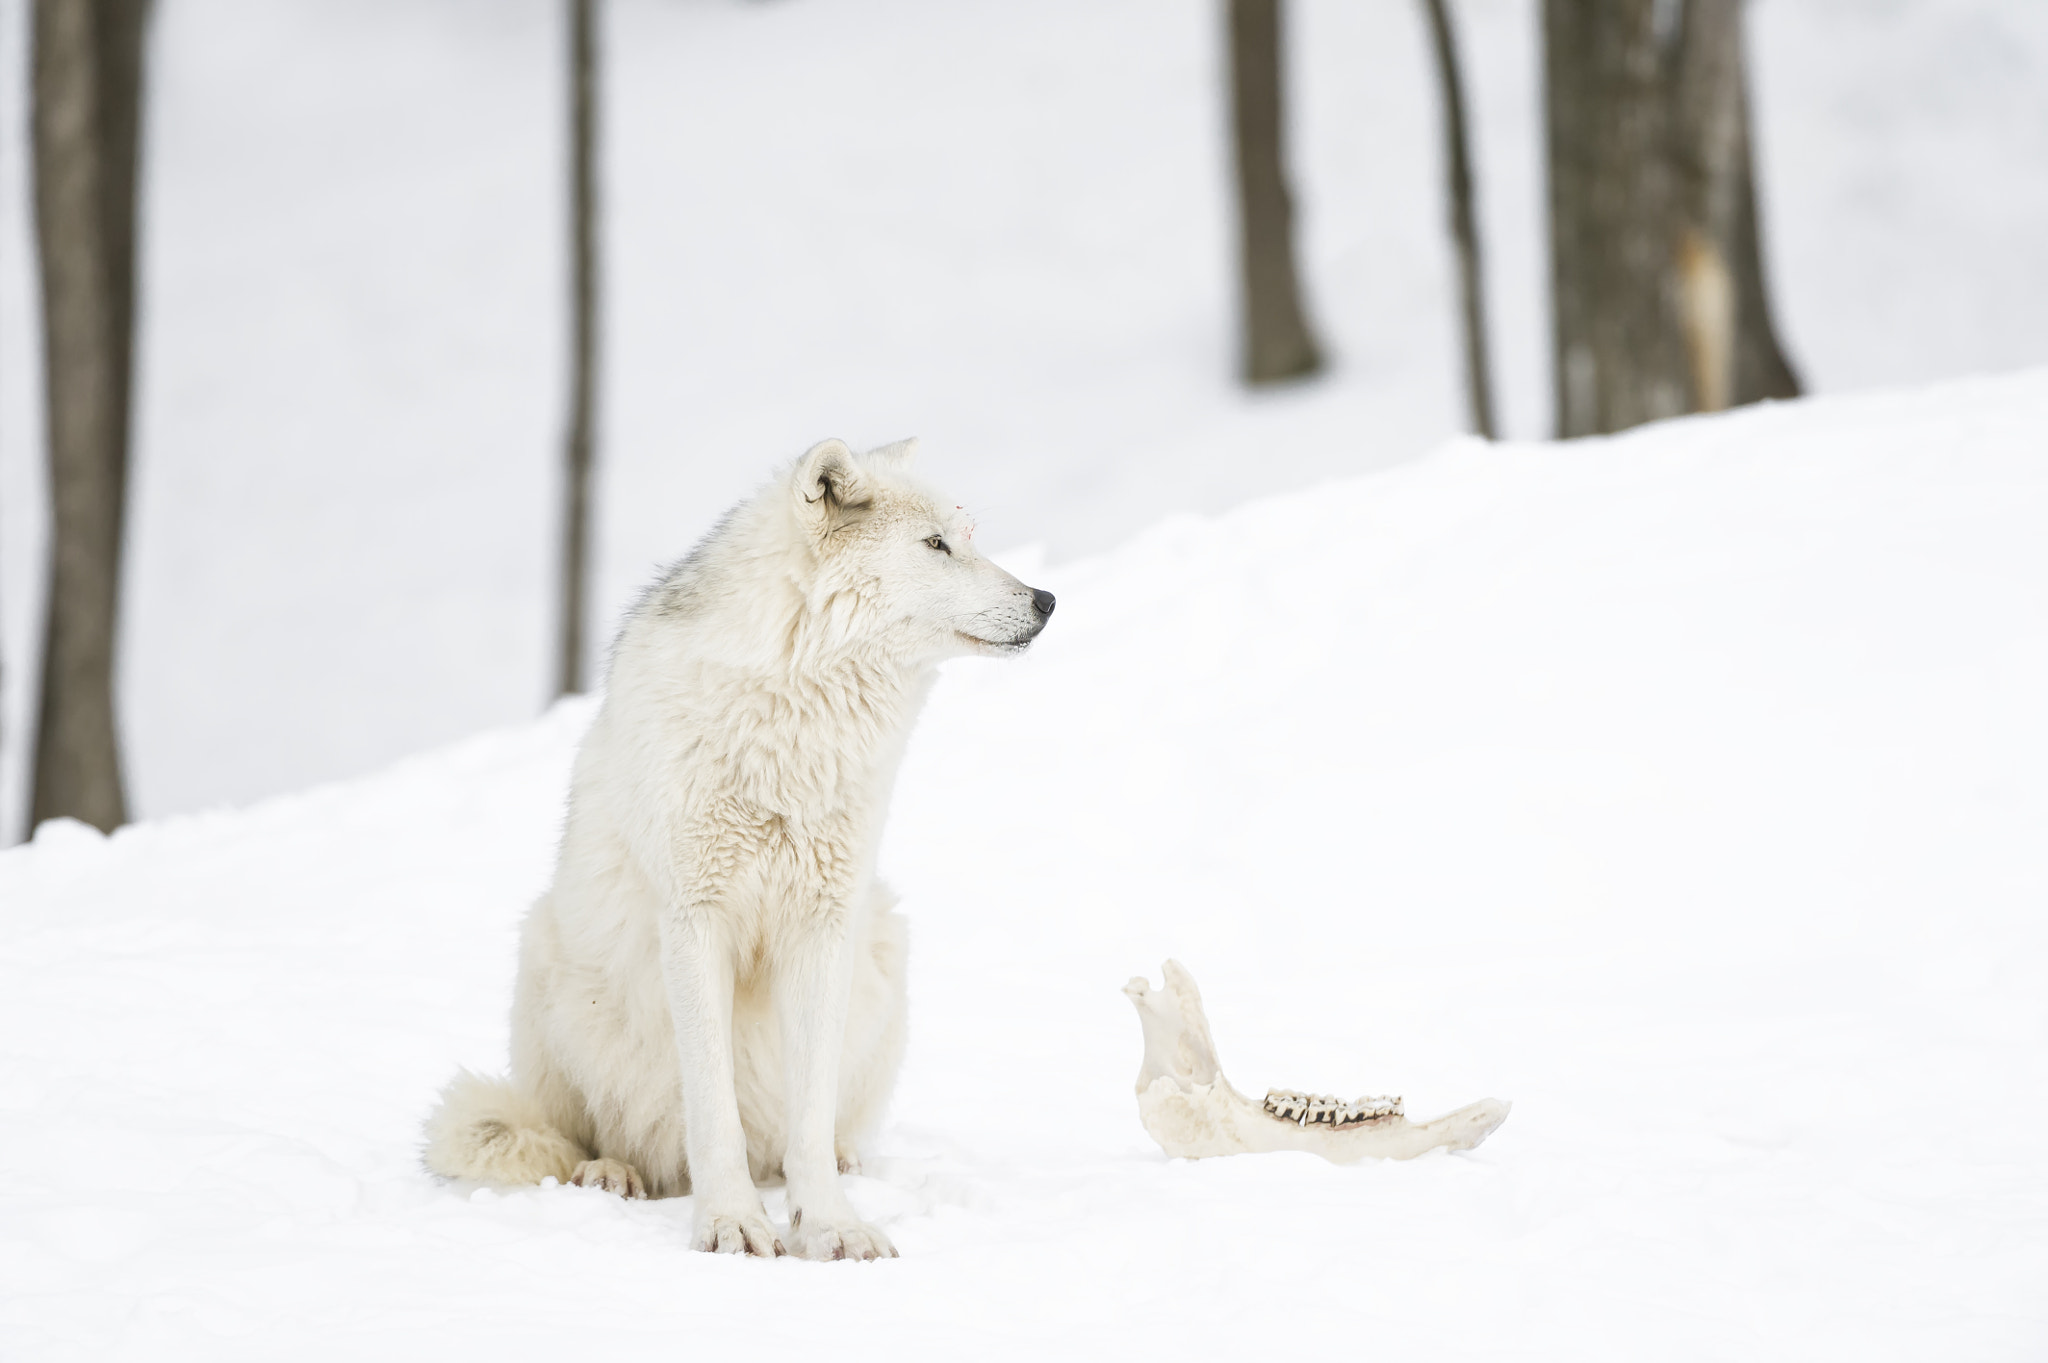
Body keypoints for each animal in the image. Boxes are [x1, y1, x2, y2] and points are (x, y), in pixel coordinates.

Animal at [419, 435, 1056, 1252]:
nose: (1045, 600)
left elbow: (810, 1114)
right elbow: (712, 1107)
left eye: (967, 536)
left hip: (885, 937)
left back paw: (844, 1163)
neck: (793, 720)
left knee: (812, 1130)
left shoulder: (823, 924)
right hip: (549, 955)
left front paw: (830, 1225)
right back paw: (610, 1173)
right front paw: (731, 1224)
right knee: (581, 1137)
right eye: (936, 544)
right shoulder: (696, 921)